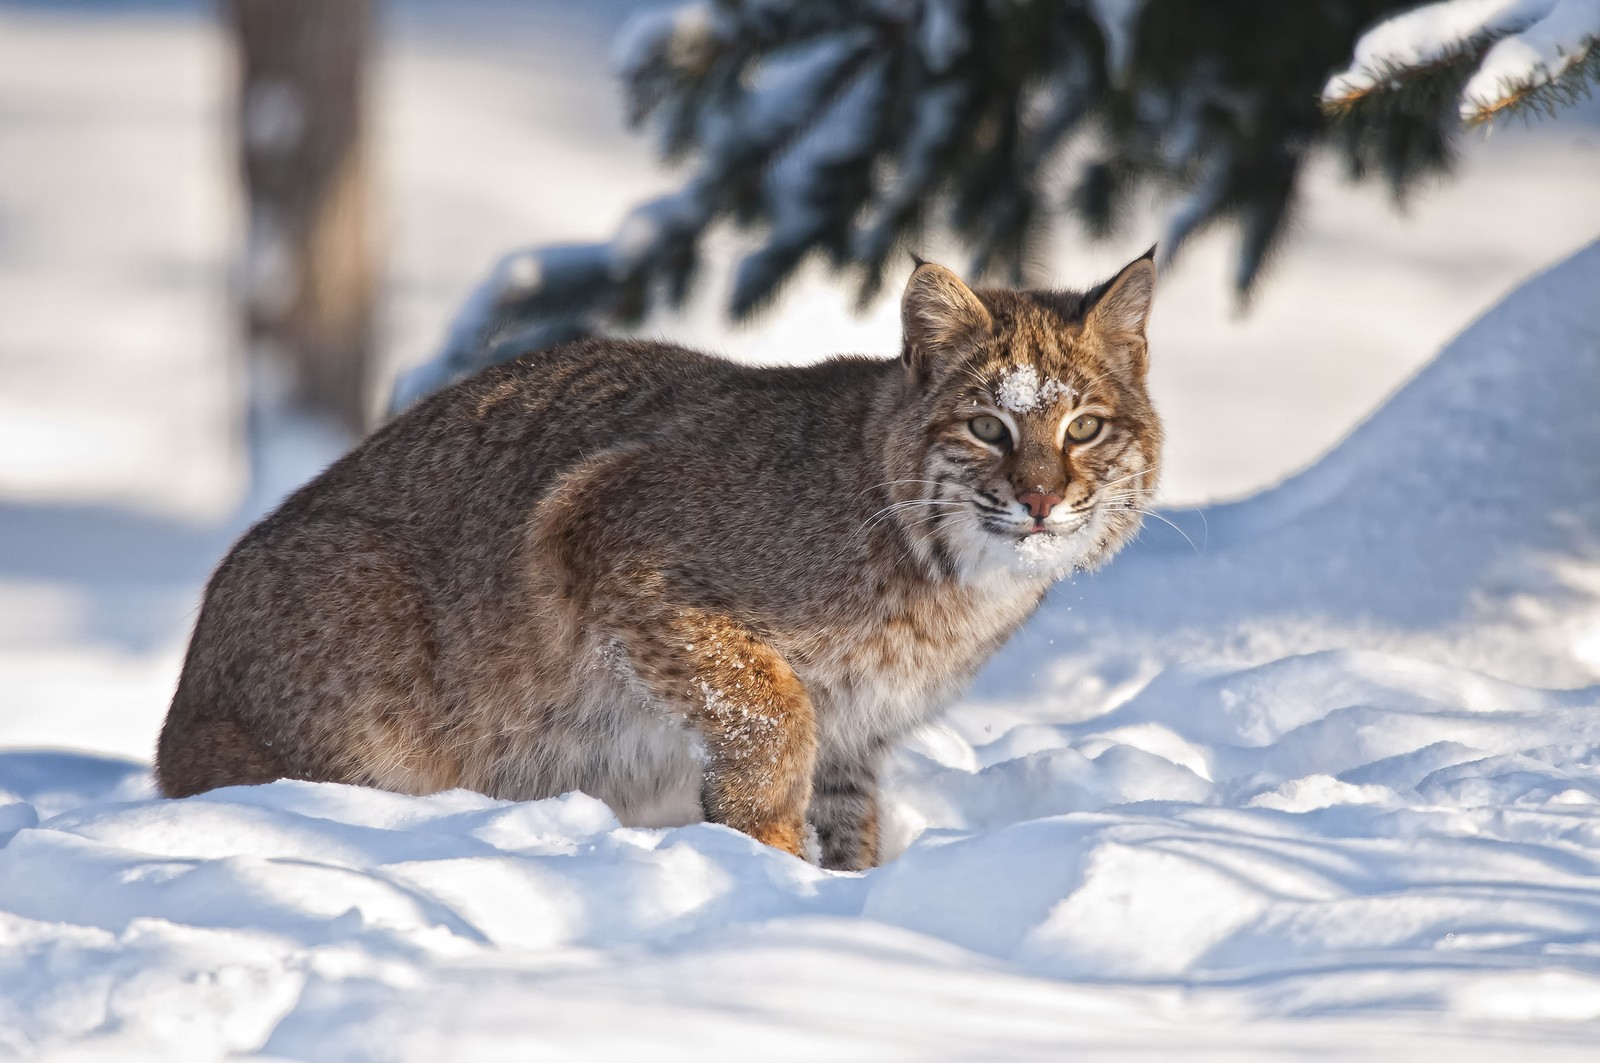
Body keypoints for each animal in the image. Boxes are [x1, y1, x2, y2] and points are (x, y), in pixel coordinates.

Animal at [159, 252, 1164, 870]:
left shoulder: (860, 726)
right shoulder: (603, 528)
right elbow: (771, 704)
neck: (949, 574)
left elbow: (848, 810)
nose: (1041, 502)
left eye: (1084, 428)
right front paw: (765, 850)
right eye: (989, 428)